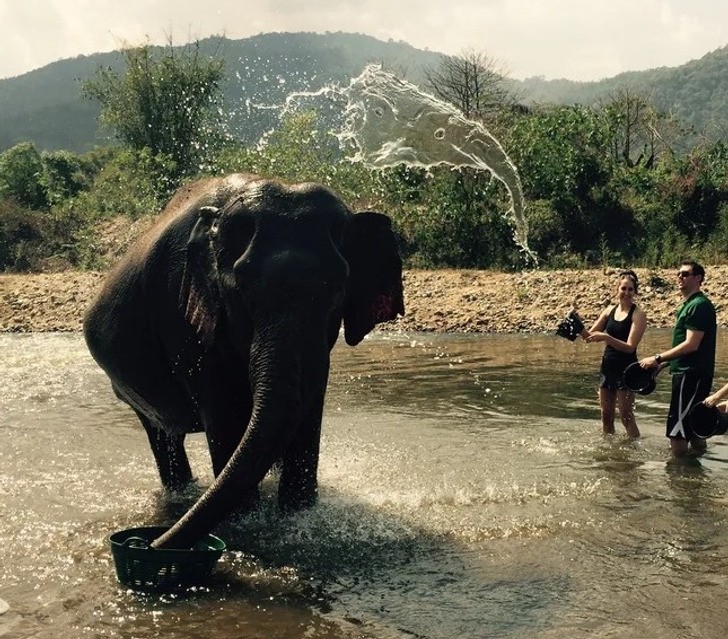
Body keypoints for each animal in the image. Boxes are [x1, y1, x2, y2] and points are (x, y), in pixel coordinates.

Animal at [86, 175, 406, 552]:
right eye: (241, 292)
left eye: (339, 289)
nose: (148, 545)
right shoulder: (185, 318)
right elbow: (226, 413)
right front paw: (247, 521)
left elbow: (306, 411)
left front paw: (297, 517)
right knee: (162, 436)